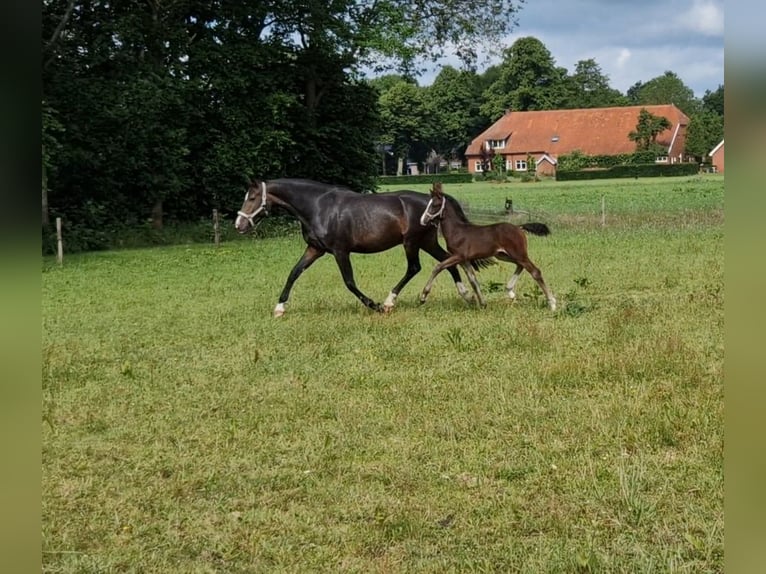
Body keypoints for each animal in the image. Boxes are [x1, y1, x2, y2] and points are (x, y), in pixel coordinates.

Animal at [234, 179, 474, 318]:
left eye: (252, 197)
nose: (239, 225)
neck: (318, 207)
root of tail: (432, 200)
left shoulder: (340, 251)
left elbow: (349, 282)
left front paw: (374, 306)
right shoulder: (314, 249)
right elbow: (293, 273)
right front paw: (279, 308)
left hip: (412, 243)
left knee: (415, 267)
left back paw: (389, 302)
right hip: (427, 242)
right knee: (447, 261)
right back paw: (465, 294)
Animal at [420, 183, 560, 310]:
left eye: (434, 205)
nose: (423, 220)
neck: (457, 231)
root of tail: (519, 228)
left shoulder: (458, 256)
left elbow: (438, 267)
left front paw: (423, 296)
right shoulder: (464, 260)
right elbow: (473, 281)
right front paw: (482, 304)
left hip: (518, 254)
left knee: (535, 271)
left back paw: (552, 304)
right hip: (503, 255)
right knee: (520, 266)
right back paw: (510, 291)